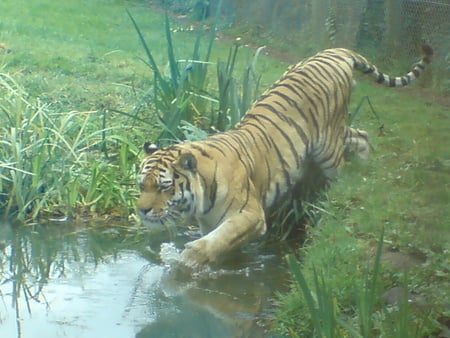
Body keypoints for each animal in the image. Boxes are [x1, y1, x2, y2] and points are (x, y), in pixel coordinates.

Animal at [136, 45, 432, 268]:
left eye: (164, 187)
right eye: (141, 186)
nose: (141, 210)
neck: (201, 196)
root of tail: (336, 51)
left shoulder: (249, 214)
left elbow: (217, 240)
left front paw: (187, 261)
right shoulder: (212, 222)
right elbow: (223, 242)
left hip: (327, 146)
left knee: (340, 169)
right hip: (337, 133)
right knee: (362, 135)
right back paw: (365, 165)